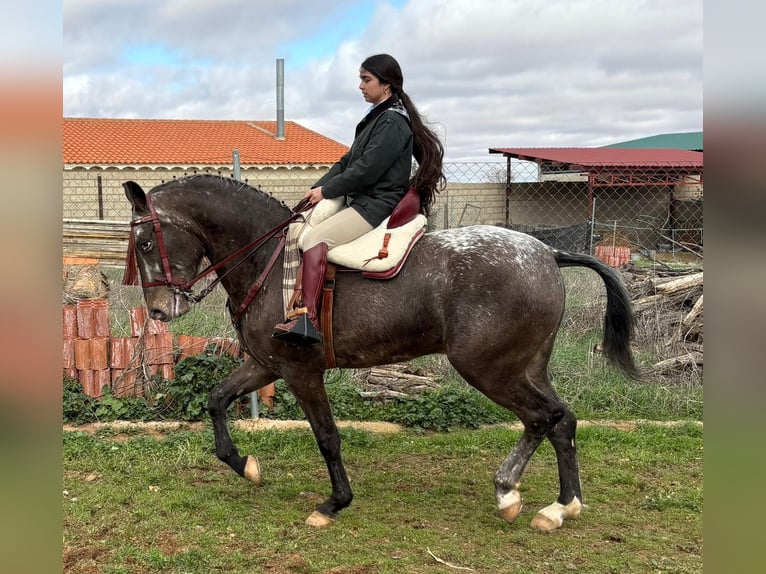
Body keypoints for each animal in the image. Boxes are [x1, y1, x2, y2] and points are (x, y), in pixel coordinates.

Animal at [122, 174, 639, 531]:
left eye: (145, 242)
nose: (159, 310)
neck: (268, 260)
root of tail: (548, 253)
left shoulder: (299, 370)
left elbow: (327, 436)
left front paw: (334, 503)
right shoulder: (266, 364)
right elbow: (216, 400)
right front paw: (245, 465)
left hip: (489, 369)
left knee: (540, 418)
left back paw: (508, 492)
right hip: (527, 366)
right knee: (563, 420)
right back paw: (561, 506)